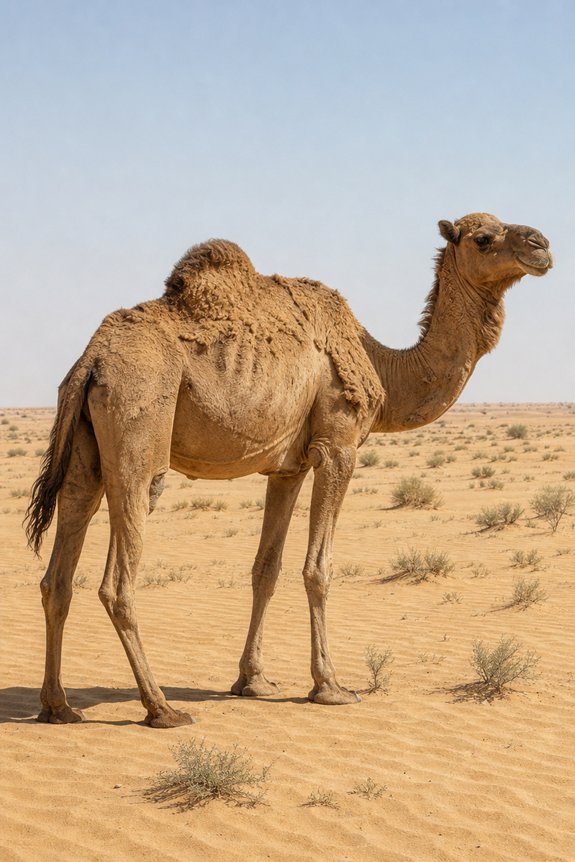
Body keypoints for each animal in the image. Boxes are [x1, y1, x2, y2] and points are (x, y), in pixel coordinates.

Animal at [26, 213, 552, 728]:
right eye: (483, 238)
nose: (542, 245)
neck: (384, 366)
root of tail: (91, 360)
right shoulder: (337, 447)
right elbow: (318, 568)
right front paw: (330, 687)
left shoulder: (287, 467)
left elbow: (266, 568)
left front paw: (253, 681)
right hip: (138, 425)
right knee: (118, 580)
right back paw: (162, 709)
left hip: (85, 451)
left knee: (58, 572)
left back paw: (59, 707)